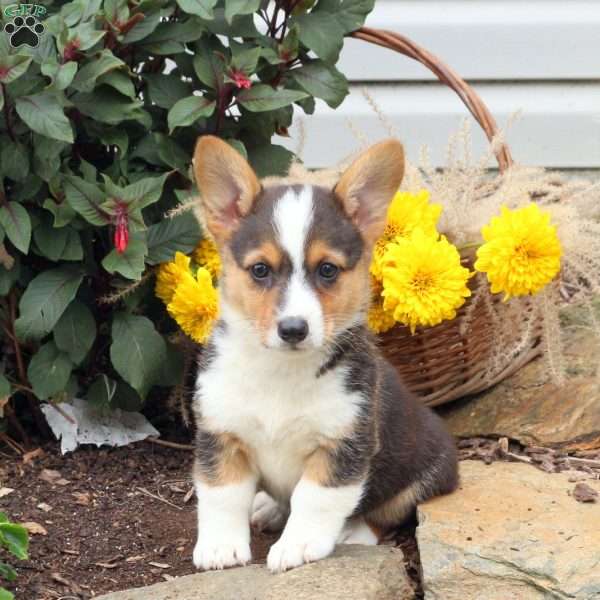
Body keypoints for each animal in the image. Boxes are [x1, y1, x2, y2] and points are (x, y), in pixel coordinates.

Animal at [190, 135, 458, 572]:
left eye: (328, 270)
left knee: (389, 513)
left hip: (422, 474)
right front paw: (220, 547)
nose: (293, 329)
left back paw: (353, 532)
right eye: (260, 270)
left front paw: (297, 546)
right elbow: (221, 494)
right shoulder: (221, 433)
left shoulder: (343, 445)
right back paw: (267, 507)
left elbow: (313, 499)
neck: (281, 370)